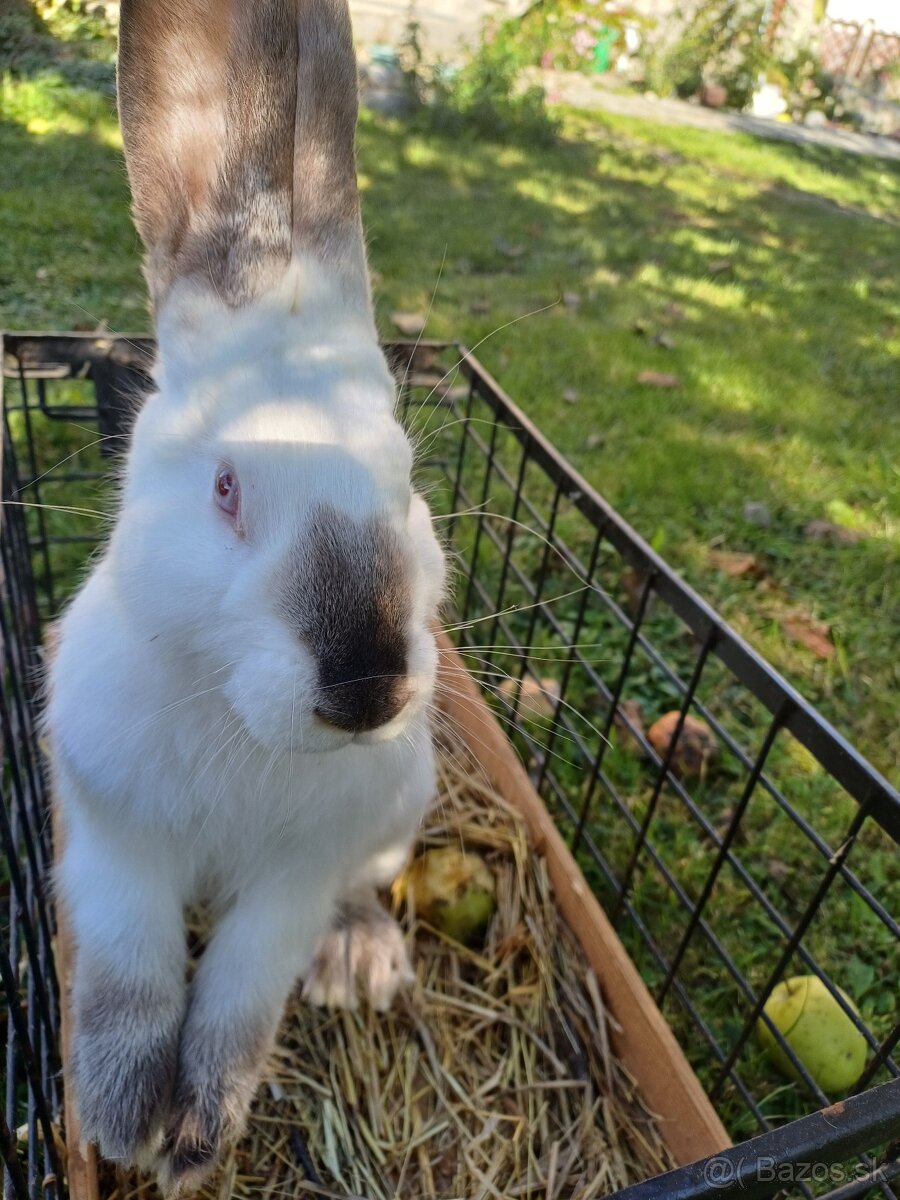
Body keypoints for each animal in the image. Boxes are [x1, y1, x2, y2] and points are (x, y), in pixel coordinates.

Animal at [45, 0, 448, 1190]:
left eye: (408, 476)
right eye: (225, 486)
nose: (368, 690)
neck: (236, 721)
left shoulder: (291, 883)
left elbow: (238, 1003)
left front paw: (194, 1138)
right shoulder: (113, 839)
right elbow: (131, 980)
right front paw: (120, 1120)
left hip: (395, 820)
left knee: (361, 893)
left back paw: (361, 963)